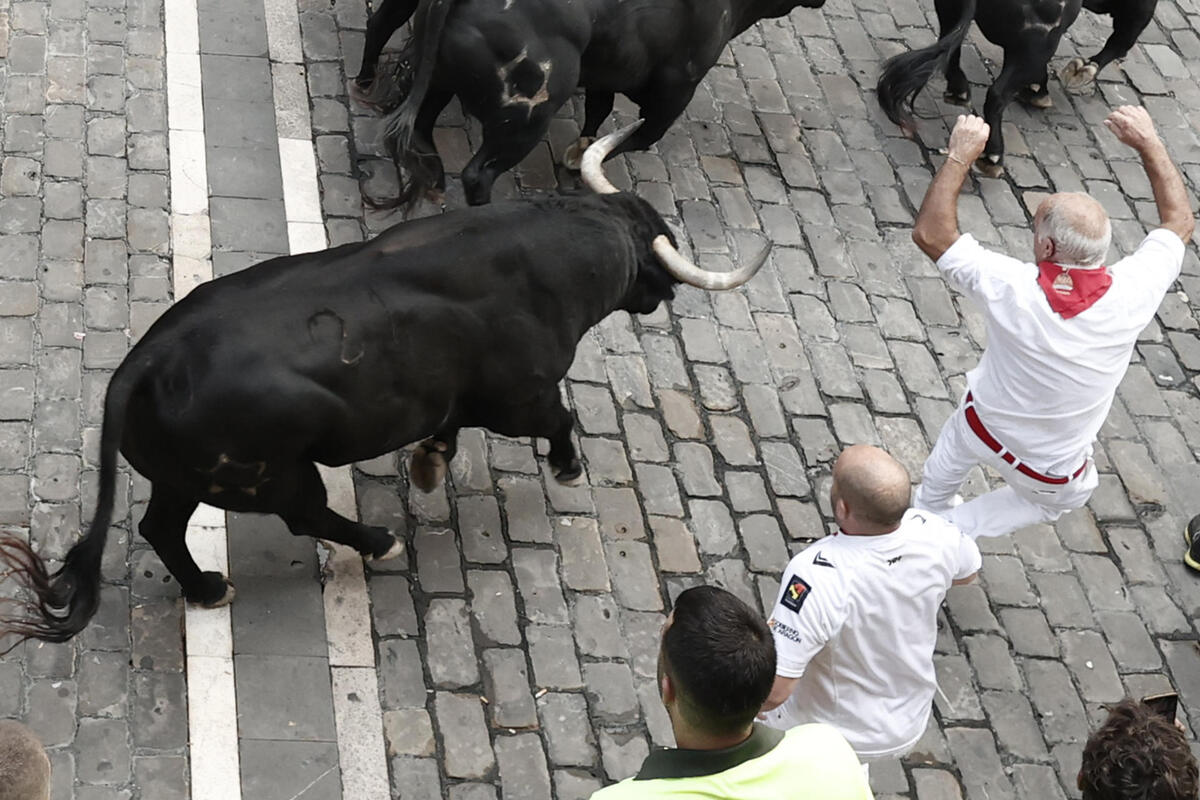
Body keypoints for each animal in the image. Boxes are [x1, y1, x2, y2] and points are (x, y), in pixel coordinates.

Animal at [0, 128, 768, 647]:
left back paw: (207, 587)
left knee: (161, 526)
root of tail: (146, 360)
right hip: (272, 472)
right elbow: (561, 419)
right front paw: (567, 466)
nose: (665, 293)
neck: (554, 256)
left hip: (186, 476)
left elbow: (447, 426)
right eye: (656, 250)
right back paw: (377, 542)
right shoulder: (522, 396)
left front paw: (431, 461)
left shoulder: (456, 394)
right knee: (305, 515)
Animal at [878, 0, 1156, 175]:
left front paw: (1038, 89)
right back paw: (993, 157)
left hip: (953, 9)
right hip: (1040, 40)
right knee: (997, 94)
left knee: (950, 46)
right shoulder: (1140, 9)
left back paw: (959, 91)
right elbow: (1120, 42)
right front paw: (1080, 71)